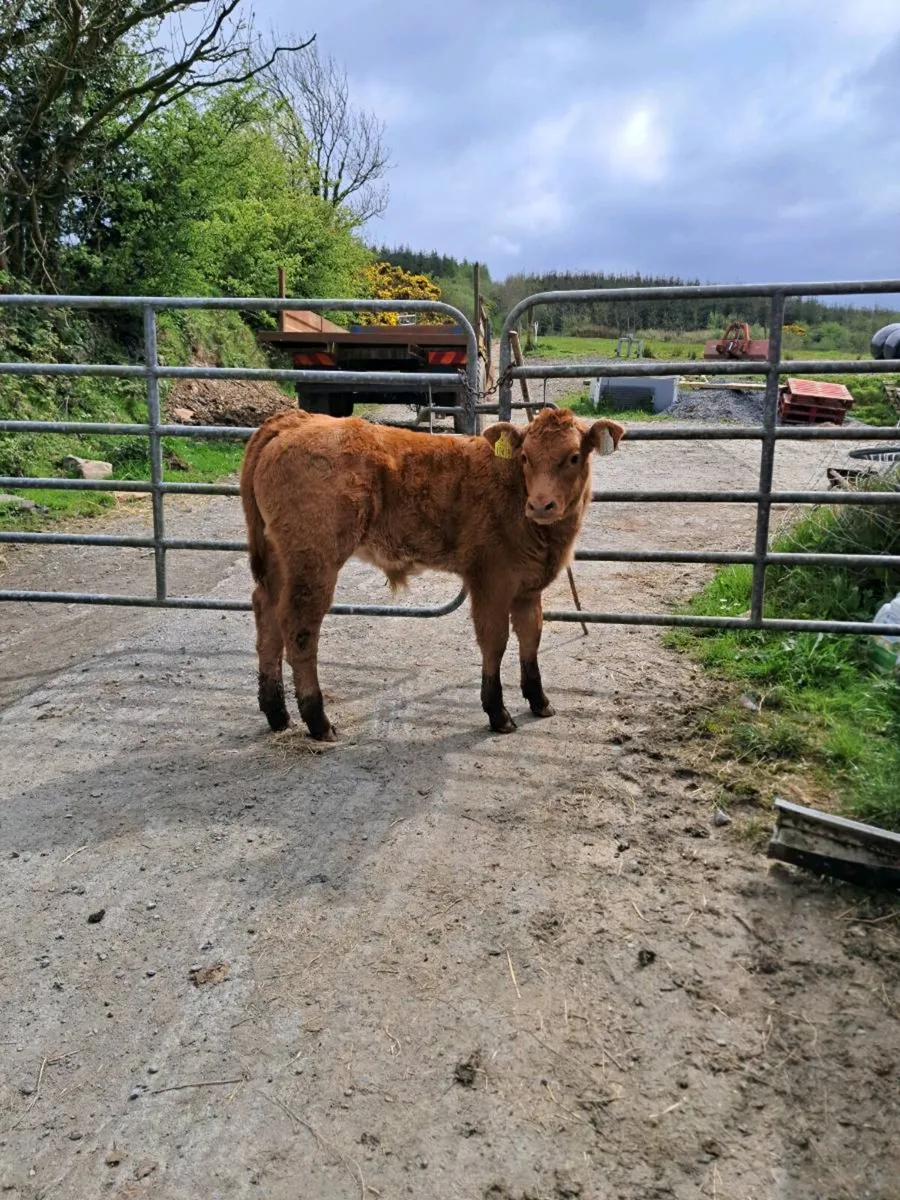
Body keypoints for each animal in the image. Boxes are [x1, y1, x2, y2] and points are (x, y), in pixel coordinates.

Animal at [239, 407, 624, 740]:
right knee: (299, 629)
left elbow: (531, 636)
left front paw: (539, 700)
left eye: (573, 457)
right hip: (313, 559)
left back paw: (277, 713)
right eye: (526, 457)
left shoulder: (529, 586)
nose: (541, 505)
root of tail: (295, 419)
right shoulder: (491, 578)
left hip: (280, 559)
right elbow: (495, 641)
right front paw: (497, 712)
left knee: (266, 615)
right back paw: (318, 721)